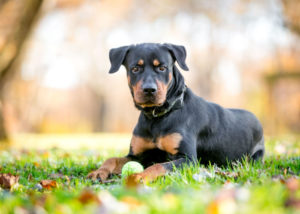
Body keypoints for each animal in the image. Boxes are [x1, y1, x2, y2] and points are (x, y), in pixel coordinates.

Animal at [86, 43, 264, 182]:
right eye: (135, 68)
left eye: (162, 67)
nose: (149, 90)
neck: (157, 117)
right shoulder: (137, 155)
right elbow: (112, 159)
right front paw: (99, 172)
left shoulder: (187, 159)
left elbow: (159, 166)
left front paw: (140, 176)